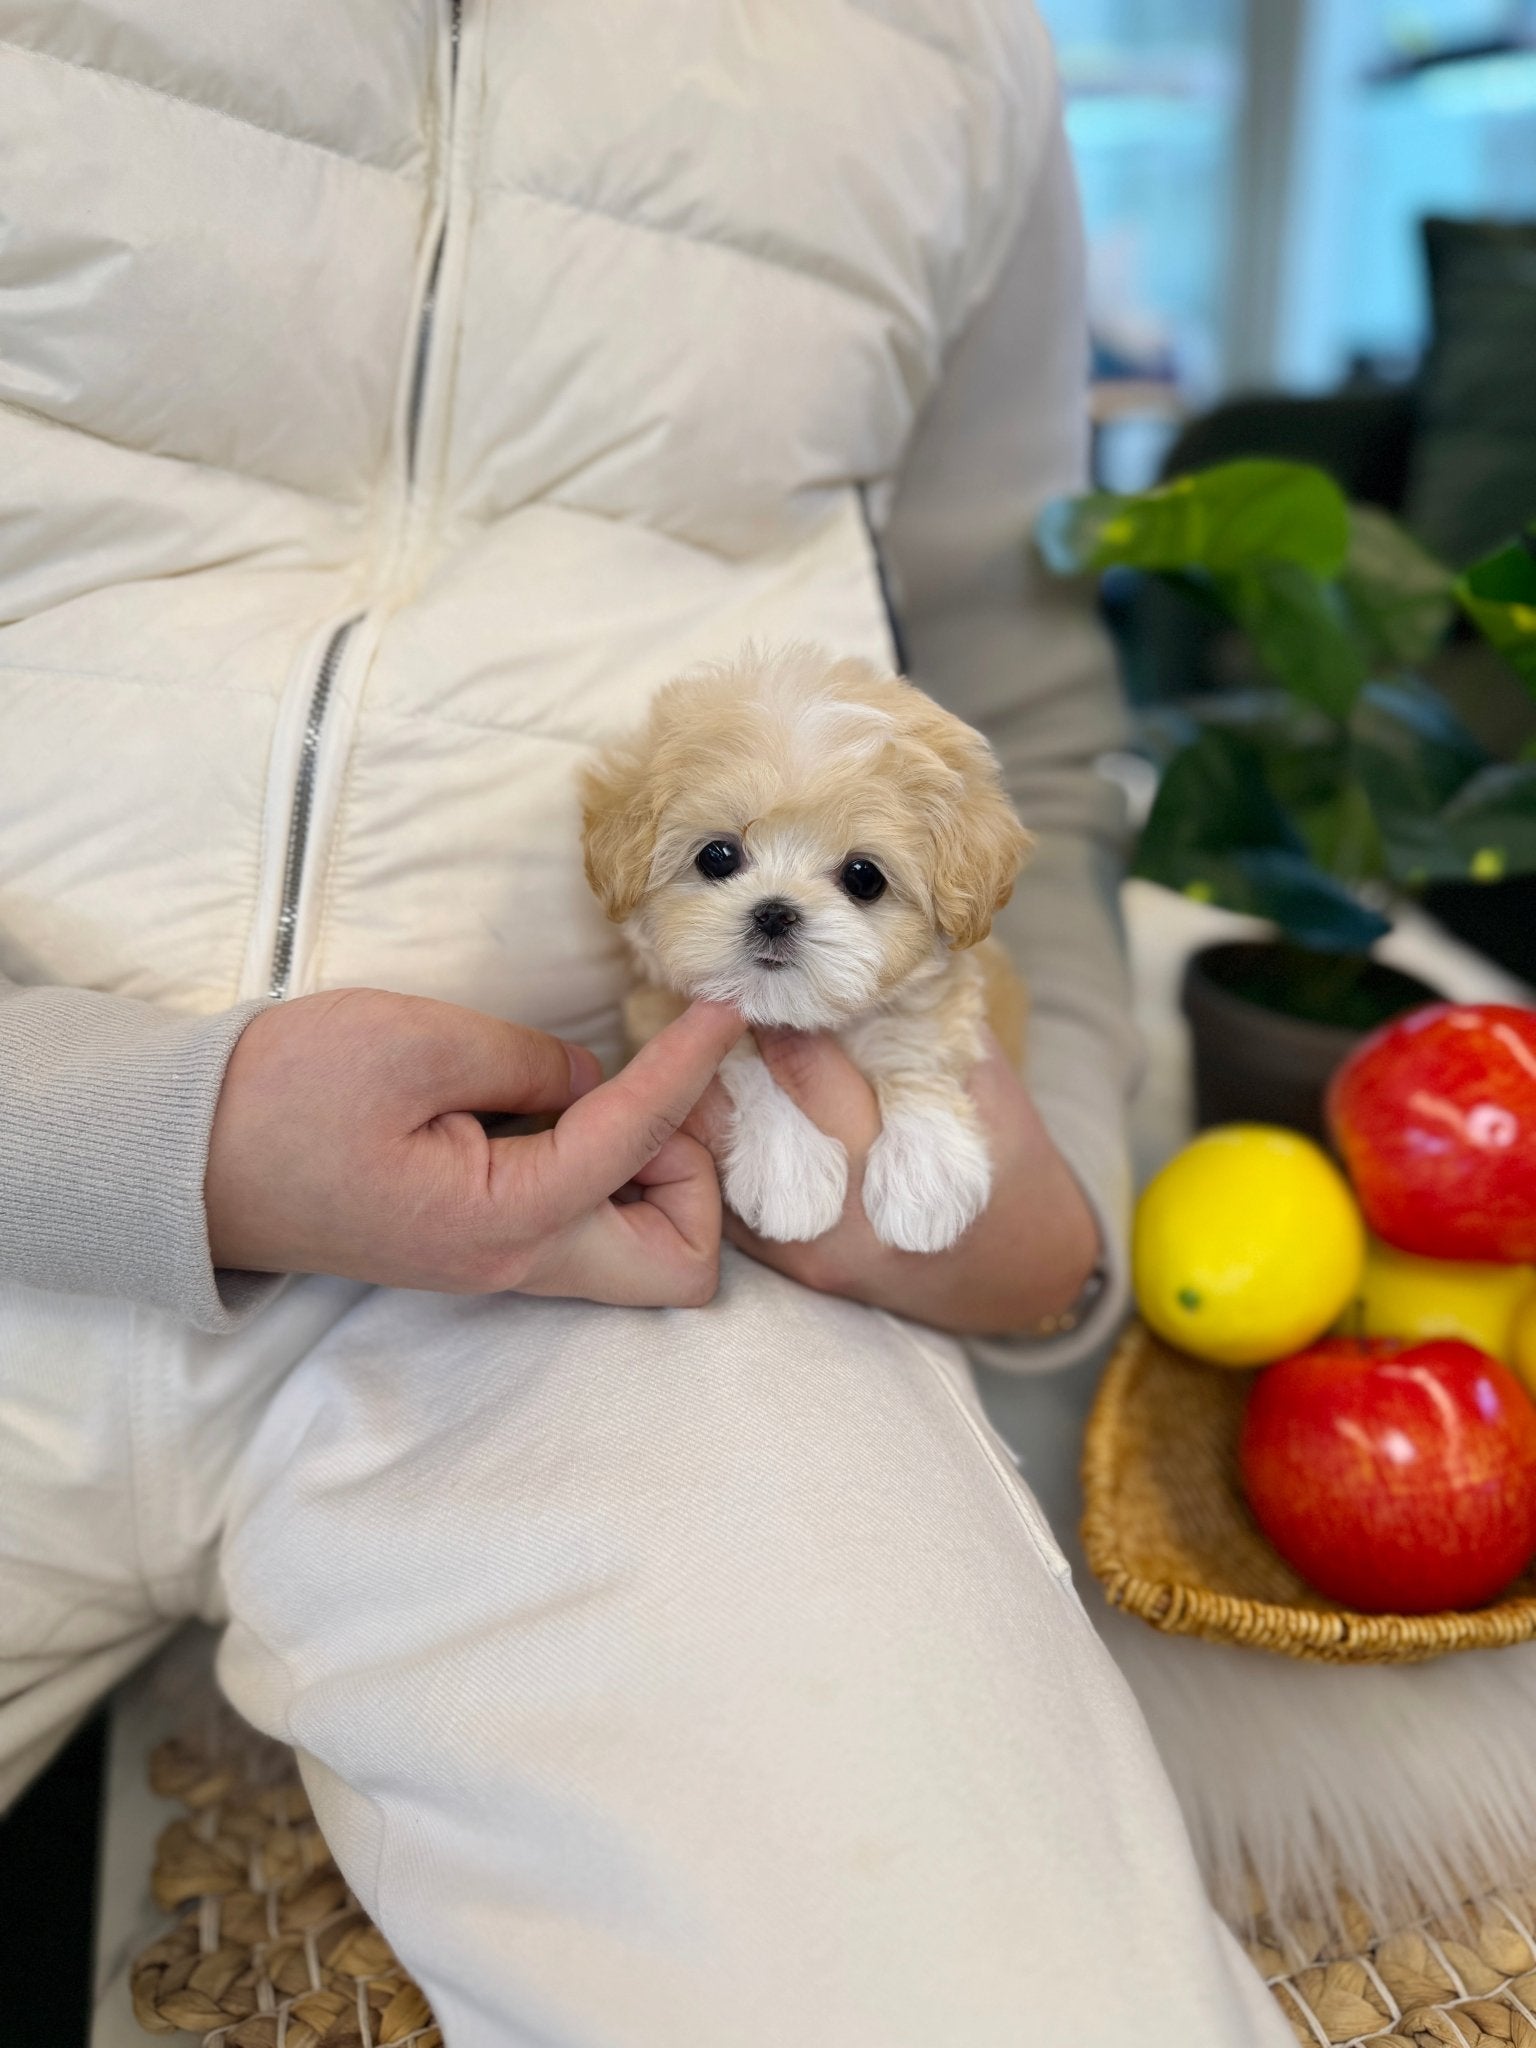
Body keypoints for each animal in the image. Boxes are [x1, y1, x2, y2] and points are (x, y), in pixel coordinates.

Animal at [577, 643, 1036, 1245]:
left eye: (864, 877)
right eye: (717, 857)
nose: (775, 912)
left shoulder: (940, 993)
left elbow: (914, 1042)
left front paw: (924, 1175)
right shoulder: (660, 1009)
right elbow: (746, 1067)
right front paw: (787, 1167)